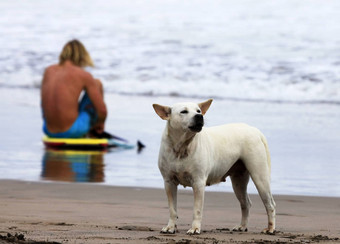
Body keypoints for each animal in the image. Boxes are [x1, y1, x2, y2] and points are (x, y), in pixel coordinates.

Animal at [153, 98, 274, 234]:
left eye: (198, 111)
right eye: (184, 111)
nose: (199, 116)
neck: (182, 147)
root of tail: (255, 130)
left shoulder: (198, 182)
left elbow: (197, 209)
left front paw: (195, 228)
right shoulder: (169, 182)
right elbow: (172, 209)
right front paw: (170, 227)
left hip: (260, 176)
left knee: (269, 204)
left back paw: (270, 228)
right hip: (239, 180)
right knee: (245, 203)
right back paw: (242, 226)